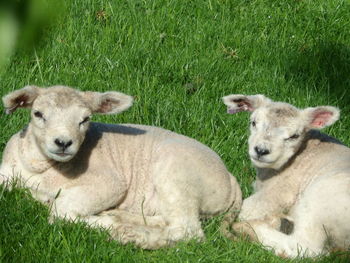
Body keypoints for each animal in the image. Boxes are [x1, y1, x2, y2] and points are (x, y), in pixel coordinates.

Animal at [0, 86, 242, 250]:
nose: (63, 142)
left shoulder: (110, 183)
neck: (38, 168)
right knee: (167, 220)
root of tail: (231, 179)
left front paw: (104, 223)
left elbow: (60, 212)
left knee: (187, 232)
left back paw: (132, 235)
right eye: (38, 114)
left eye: (85, 119)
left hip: (178, 173)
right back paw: (125, 219)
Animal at [221, 94, 350, 258]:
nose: (261, 150)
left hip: (320, 201)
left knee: (305, 246)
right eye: (253, 122)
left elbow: (247, 209)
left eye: (294, 136)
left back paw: (250, 228)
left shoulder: (280, 192)